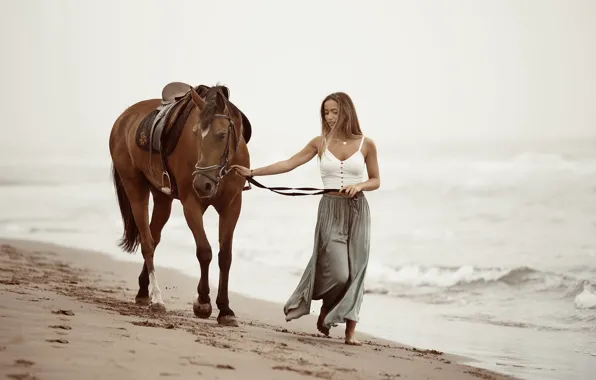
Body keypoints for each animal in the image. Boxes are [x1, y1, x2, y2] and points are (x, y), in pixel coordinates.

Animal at [108, 81, 250, 326]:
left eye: (222, 134)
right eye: (196, 134)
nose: (202, 184)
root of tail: (123, 118)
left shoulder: (232, 206)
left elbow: (225, 257)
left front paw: (225, 309)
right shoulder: (191, 204)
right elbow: (204, 251)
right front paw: (203, 302)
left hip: (162, 198)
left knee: (154, 238)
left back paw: (143, 292)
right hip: (135, 188)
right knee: (147, 243)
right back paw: (156, 299)